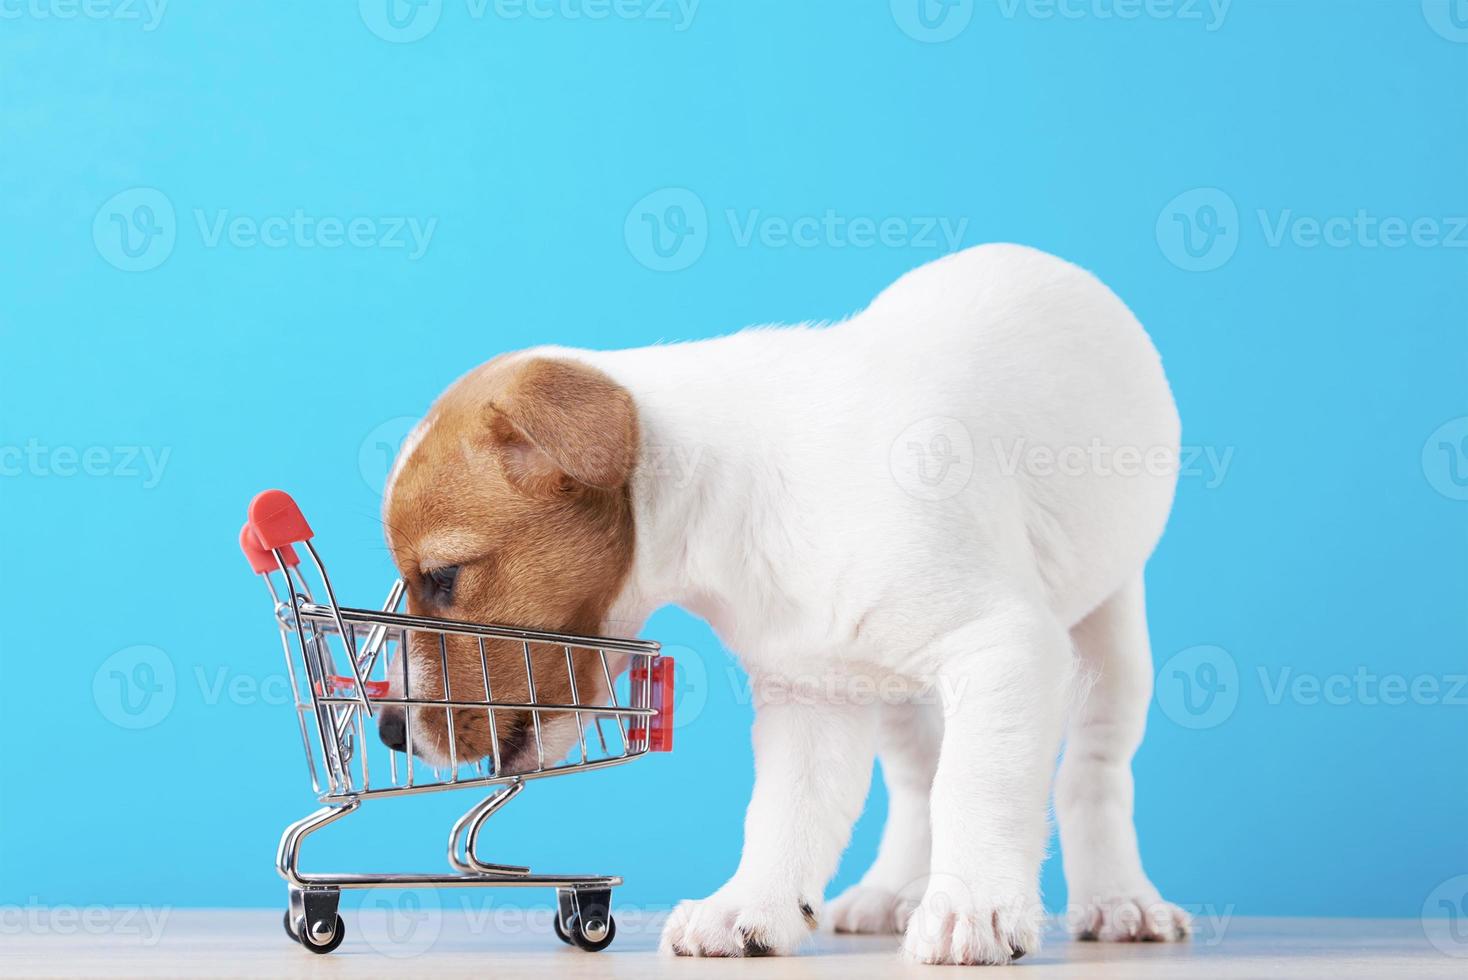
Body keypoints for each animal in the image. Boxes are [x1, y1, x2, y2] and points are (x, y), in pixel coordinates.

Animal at [381, 243, 1192, 962]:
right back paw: (892, 890)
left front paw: (972, 909)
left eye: (444, 577)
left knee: (1093, 769)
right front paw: (753, 905)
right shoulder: (813, 690)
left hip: (1110, 629)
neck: (740, 495)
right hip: (890, 684)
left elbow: (975, 787)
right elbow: (785, 812)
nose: (389, 731)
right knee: (915, 776)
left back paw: (1120, 900)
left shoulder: (1004, 646)